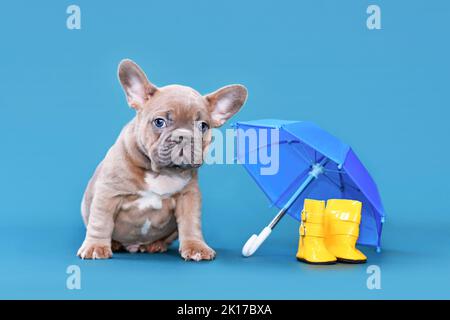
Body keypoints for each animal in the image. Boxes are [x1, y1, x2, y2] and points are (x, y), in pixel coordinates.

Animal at [77, 59, 246, 260]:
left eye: (203, 126)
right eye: (159, 122)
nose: (183, 136)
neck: (161, 172)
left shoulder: (188, 197)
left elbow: (191, 223)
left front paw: (196, 247)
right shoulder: (108, 194)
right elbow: (101, 222)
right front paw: (96, 246)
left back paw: (156, 245)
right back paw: (115, 244)